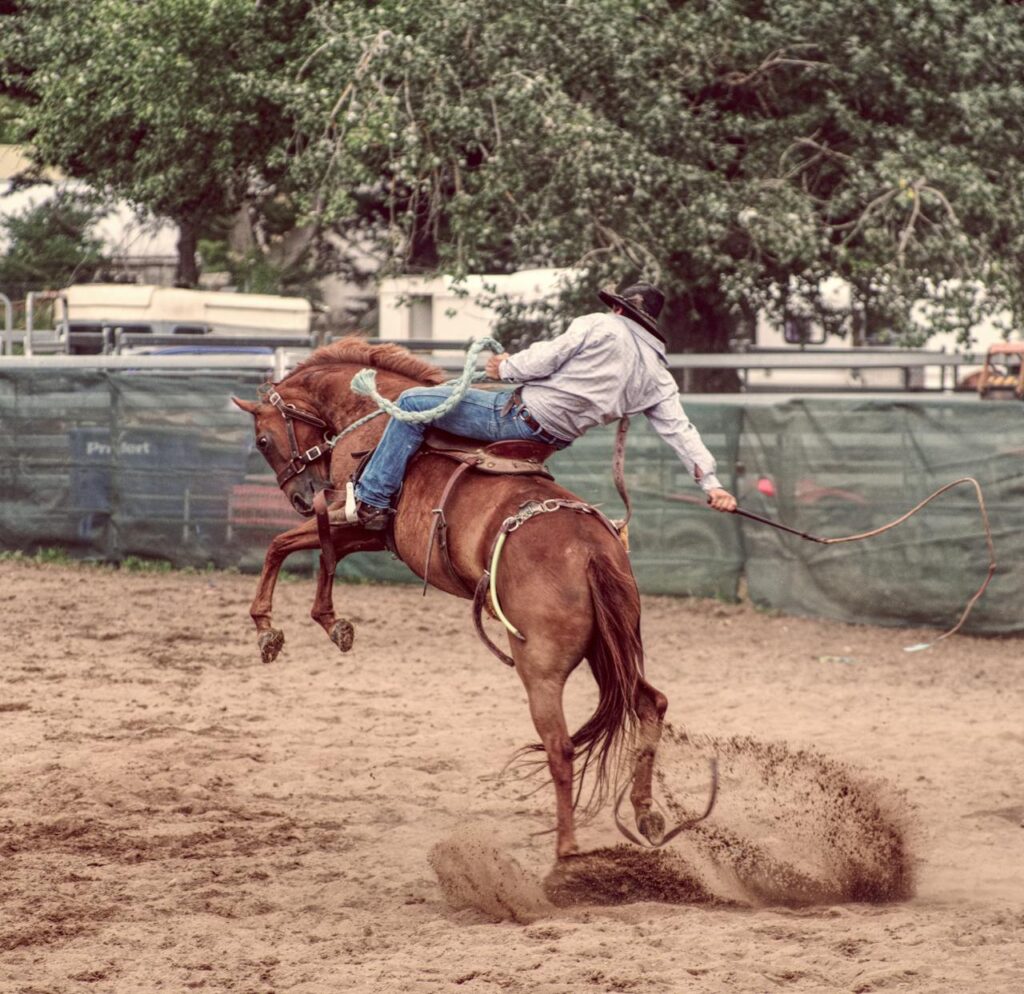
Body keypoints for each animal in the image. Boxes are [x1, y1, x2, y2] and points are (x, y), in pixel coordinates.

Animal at [232, 338, 672, 859]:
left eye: (263, 440)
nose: (302, 498)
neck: (373, 417)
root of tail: (589, 550)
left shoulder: (353, 514)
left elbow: (282, 545)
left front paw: (267, 630)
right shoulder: (369, 530)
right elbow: (324, 556)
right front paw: (332, 623)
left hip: (542, 668)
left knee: (561, 746)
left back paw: (567, 849)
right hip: (610, 648)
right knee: (649, 704)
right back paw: (646, 815)